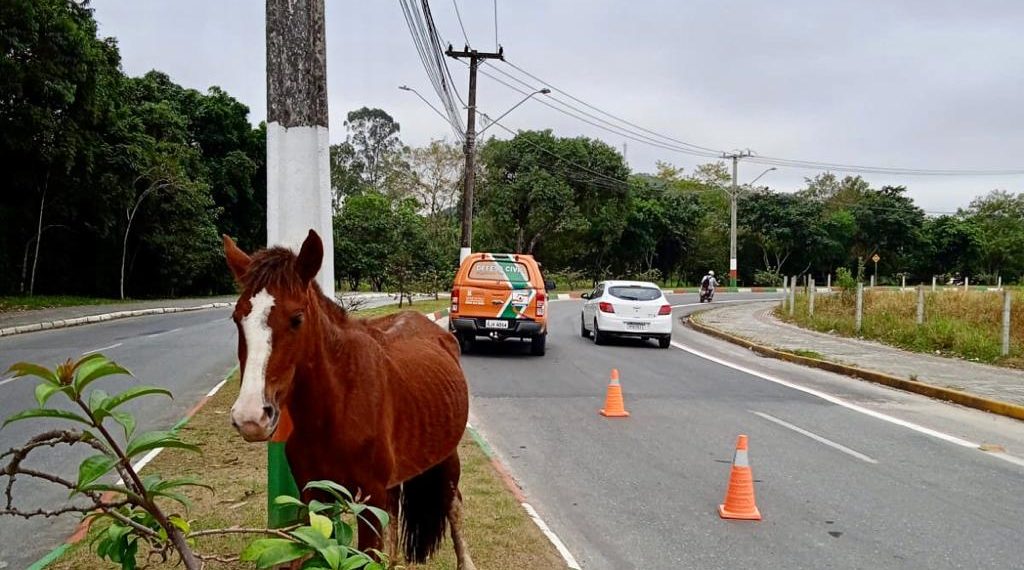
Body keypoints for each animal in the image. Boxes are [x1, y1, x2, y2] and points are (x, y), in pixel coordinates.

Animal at [223, 229, 475, 564]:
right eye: (237, 318)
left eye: (297, 318)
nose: (251, 417)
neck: (337, 405)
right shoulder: (315, 496)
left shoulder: (371, 500)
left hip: (446, 456)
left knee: (453, 505)